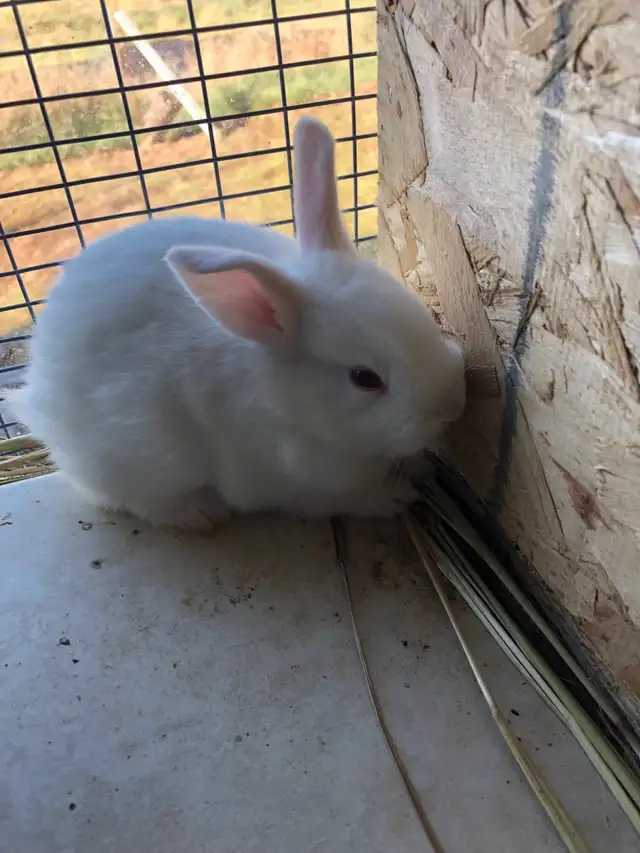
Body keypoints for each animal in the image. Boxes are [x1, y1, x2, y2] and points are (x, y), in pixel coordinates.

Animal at [10, 117, 465, 529]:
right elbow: (349, 498)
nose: (450, 408)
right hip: (130, 457)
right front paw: (396, 496)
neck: (286, 402)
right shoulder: (299, 484)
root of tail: (36, 388)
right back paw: (200, 512)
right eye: (364, 378)